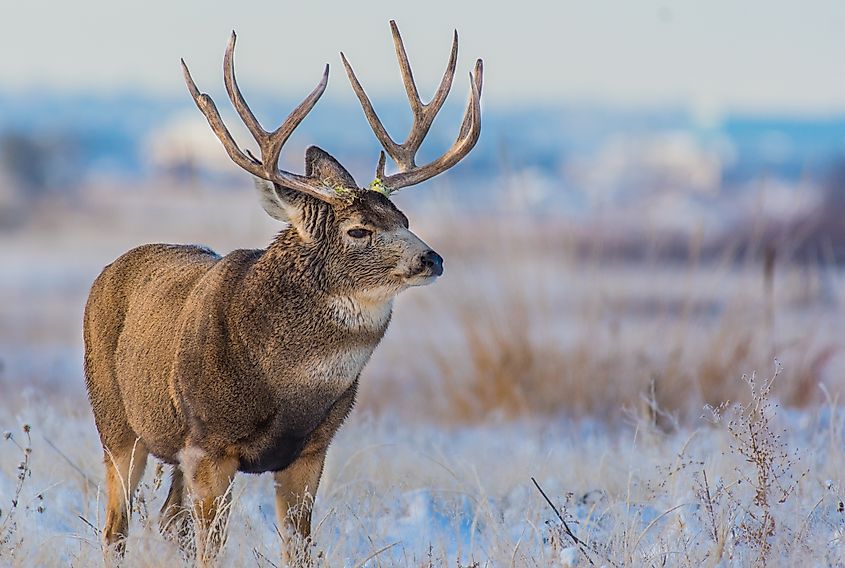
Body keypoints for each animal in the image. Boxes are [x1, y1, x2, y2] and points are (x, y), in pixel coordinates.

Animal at [83, 20, 482, 564]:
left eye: (403, 218)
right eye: (358, 230)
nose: (431, 259)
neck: (283, 381)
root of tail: (109, 269)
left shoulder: (311, 450)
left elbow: (300, 546)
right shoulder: (210, 444)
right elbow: (211, 545)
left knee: (167, 520)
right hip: (116, 423)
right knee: (116, 527)